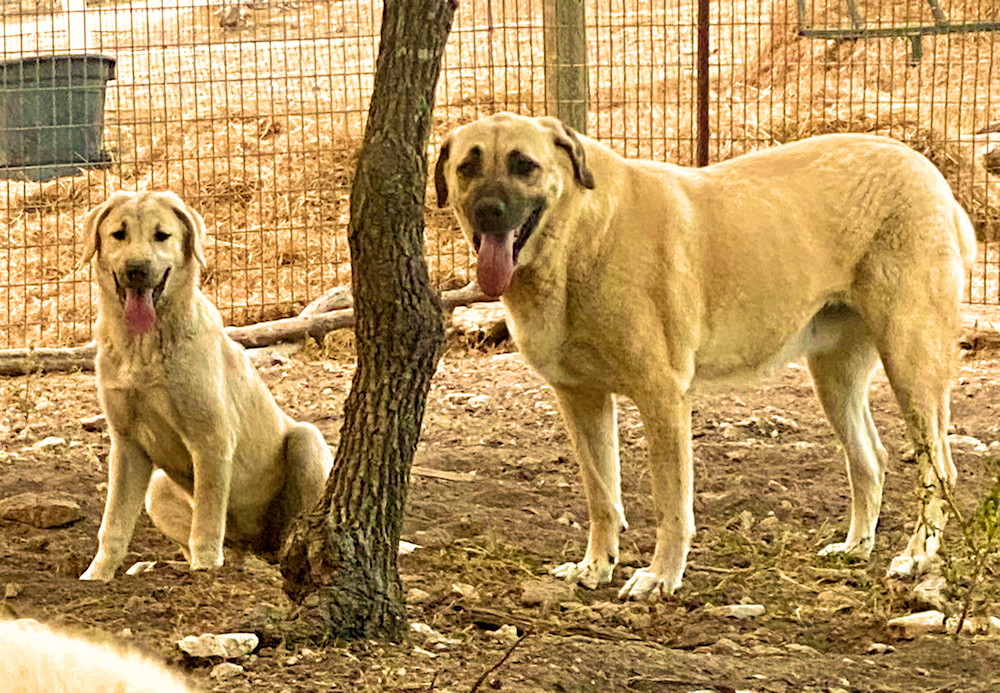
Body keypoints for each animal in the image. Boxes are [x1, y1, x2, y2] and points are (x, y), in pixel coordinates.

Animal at [80, 189, 334, 580]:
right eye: (118, 234)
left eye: (161, 235)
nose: (136, 270)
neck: (144, 347)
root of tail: (255, 546)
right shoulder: (126, 443)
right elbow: (114, 524)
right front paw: (97, 575)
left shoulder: (211, 438)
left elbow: (208, 517)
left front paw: (205, 567)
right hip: (158, 488)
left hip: (306, 440)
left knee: (291, 535)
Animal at [436, 113, 976, 600]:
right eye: (467, 166)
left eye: (524, 164)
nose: (489, 211)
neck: (579, 240)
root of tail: (926, 168)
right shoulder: (580, 399)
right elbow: (601, 495)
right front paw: (596, 566)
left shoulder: (662, 398)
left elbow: (671, 503)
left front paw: (660, 577)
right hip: (834, 375)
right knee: (870, 459)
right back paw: (855, 547)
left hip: (911, 361)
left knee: (939, 469)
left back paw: (917, 554)